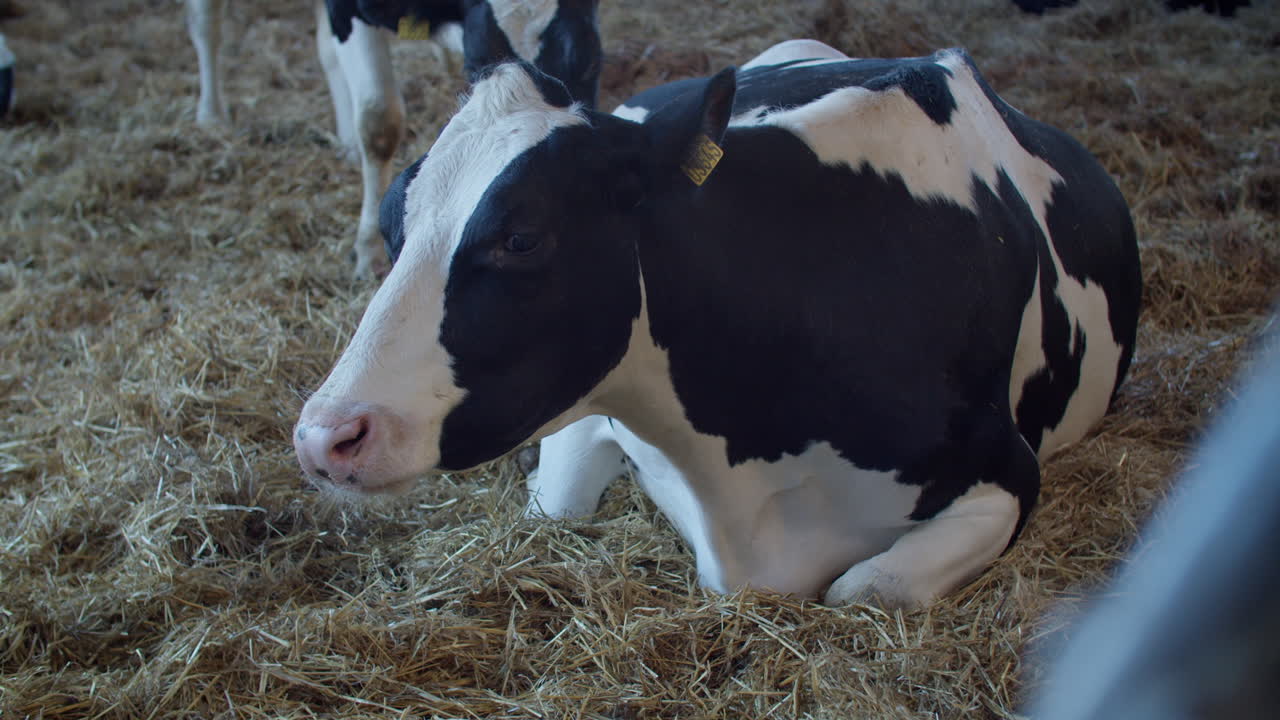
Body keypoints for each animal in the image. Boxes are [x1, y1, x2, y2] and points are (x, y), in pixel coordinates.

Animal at [183, 0, 602, 277]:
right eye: (477, 65)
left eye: (590, 63)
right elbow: (379, 121)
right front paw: (368, 248)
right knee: (206, 24)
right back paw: (210, 114)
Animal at [294, 42, 1142, 610]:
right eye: (393, 220)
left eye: (522, 237)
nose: (325, 436)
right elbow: (555, 499)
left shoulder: (1005, 473)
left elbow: (867, 588)